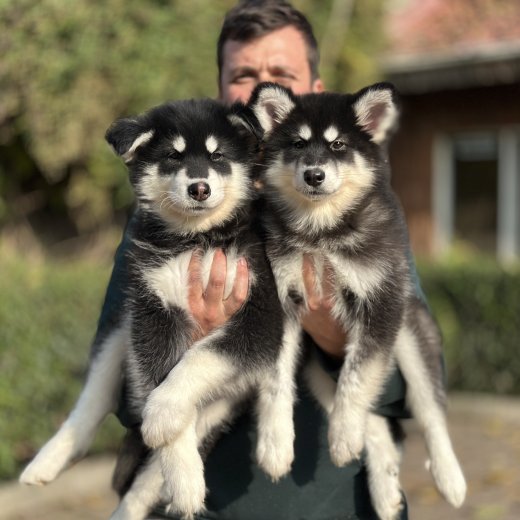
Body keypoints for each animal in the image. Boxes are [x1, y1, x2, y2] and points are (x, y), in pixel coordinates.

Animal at [20, 98, 298, 520]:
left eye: (217, 156)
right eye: (173, 156)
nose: (199, 187)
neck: (196, 239)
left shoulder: (259, 317)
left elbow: (197, 361)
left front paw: (162, 417)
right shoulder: (153, 312)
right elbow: (162, 381)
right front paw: (170, 443)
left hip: (222, 400)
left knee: (152, 472)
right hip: (122, 327)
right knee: (95, 397)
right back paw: (49, 461)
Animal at [248, 83, 468, 516]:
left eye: (338, 145)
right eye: (298, 143)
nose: (314, 174)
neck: (322, 232)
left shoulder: (380, 303)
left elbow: (356, 377)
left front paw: (342, 433)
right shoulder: (282, 304)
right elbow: (276, 381)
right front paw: (274, 445)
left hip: (410, 329)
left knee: (430, 409)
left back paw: (449, 477)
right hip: (316, 369)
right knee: (376, 422)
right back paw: (382, 488)